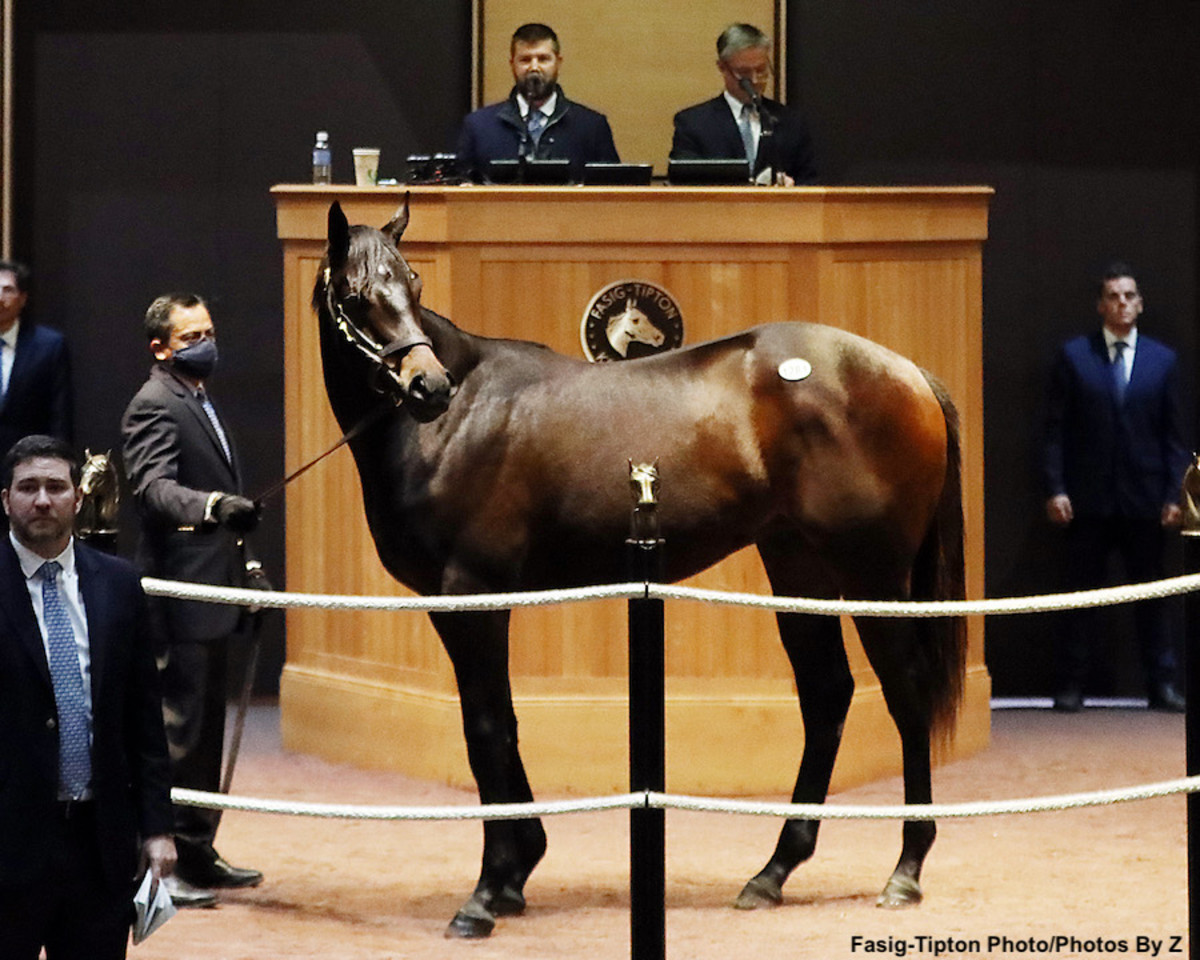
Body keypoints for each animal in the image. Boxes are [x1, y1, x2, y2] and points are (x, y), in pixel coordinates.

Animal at [309, 200, 964, 936]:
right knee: (827, 695)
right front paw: (515, 874)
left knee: (906, 696)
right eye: (354, 297)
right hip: (801, 569)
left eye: (413, 284)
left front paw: (484, 893)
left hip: (874, 577)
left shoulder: (473, 594)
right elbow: (502, 723)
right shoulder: (461, 605)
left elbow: (484, 730)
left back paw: (905, 870)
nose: (428, 386)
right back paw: (772, 874)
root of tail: (908, 372)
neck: (459, 422)